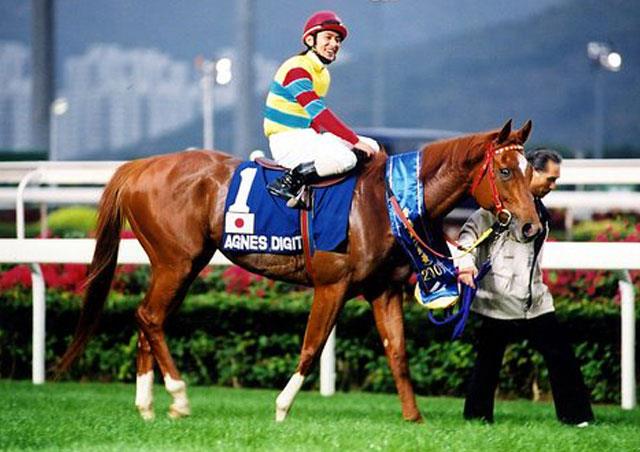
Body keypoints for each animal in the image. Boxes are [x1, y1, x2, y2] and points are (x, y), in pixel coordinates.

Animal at [55, 119, 541, 422]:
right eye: (504, 170)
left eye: (530, 169)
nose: (532, 226)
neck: (386, 202)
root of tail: (140, 167)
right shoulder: (332, 284)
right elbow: (312, 345)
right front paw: (282, 407)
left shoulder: (384, 290)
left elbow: (398, 354)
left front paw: (414, 418)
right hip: (179, 262)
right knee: (151, 317)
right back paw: (179, 397)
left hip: (175, 265)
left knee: (145, 319)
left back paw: (149, 405)